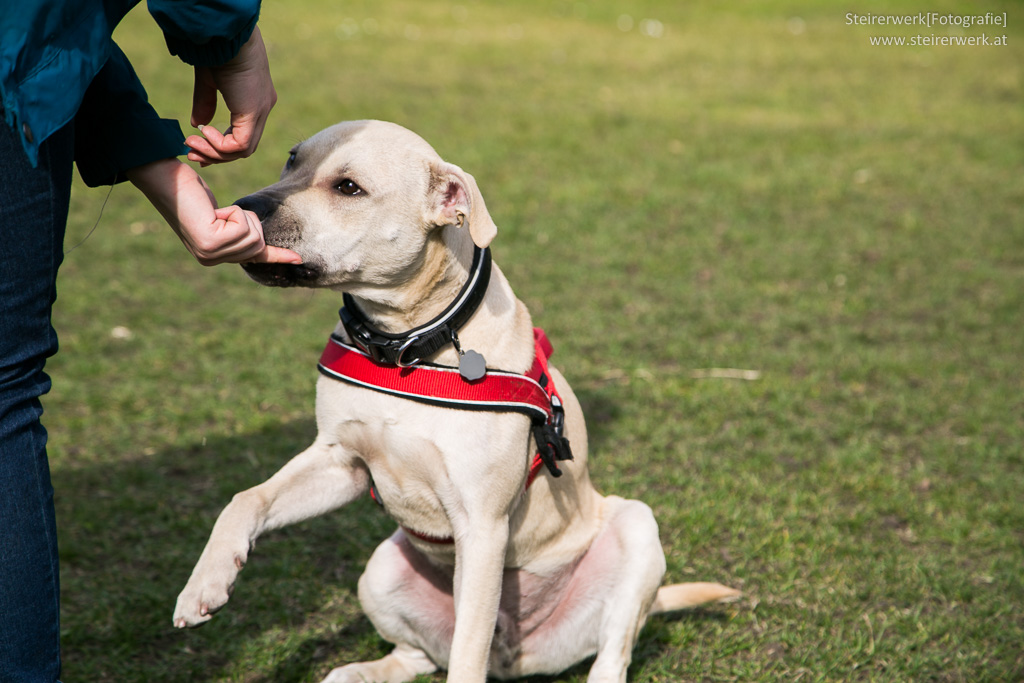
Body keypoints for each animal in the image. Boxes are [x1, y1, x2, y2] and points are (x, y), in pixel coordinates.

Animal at [172, 120, 741, 679]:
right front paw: (205, 583)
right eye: (291, 160)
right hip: (381, 570)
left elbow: (467, 658)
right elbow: (247, 499)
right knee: (417, 654)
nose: (245, 205)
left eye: (348, 187)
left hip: (635, 530)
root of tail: (515, 655)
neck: (404, 345)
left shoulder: (482, 526)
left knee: (609, 653)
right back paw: (358, 672)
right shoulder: (340, 461)